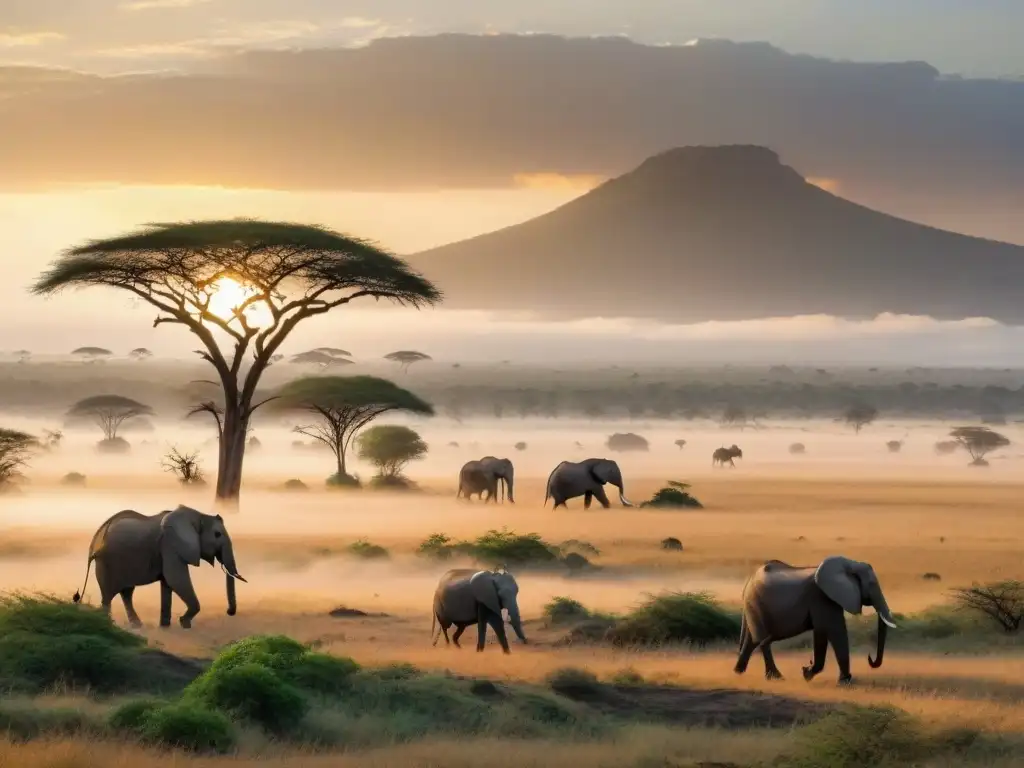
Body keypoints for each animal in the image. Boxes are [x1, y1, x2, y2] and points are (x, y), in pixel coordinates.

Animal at [72, 505, 247, 630]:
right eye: (217, 534)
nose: (229, 612)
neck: (197, 515)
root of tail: (94, 543)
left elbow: (168, 583)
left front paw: (165, 627)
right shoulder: (170, 545)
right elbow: (176, 579)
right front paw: (184, 623)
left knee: (127, 592)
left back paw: (137, 626)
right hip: (107, 563)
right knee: (108, 596)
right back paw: (109, 625)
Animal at [737, 557, 897, 688]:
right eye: (872, 584)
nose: (869, 657)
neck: (850, 564)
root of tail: (747, 583)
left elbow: (825, 632)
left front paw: (809, 673)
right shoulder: (821, 597)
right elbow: (832, 630)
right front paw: (840, 681)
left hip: (753, 607)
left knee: (752, 641)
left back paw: (738, 672)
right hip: (755, 604)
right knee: (762, 641)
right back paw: (777, 677)